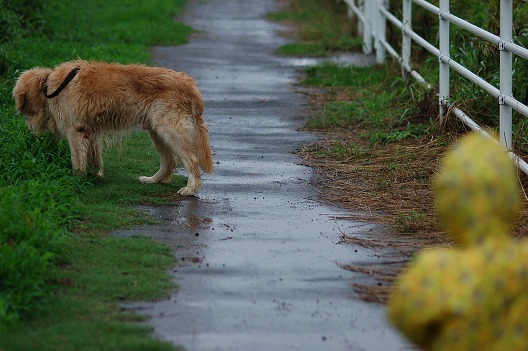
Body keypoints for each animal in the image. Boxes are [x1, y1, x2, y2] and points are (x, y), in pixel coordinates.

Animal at [11, 61, 212, 197]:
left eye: (25, 108)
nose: (29, 129)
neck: (52, 86)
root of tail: (189, 84)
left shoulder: (75, 131)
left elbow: (77, 159)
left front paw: (77, 178)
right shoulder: (90, 131)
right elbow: (93, 156)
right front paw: (95, 173)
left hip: (170, 130)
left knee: (191, 160)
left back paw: (191, 188)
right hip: (157, 132)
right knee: (169, 161)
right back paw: (153, 180)